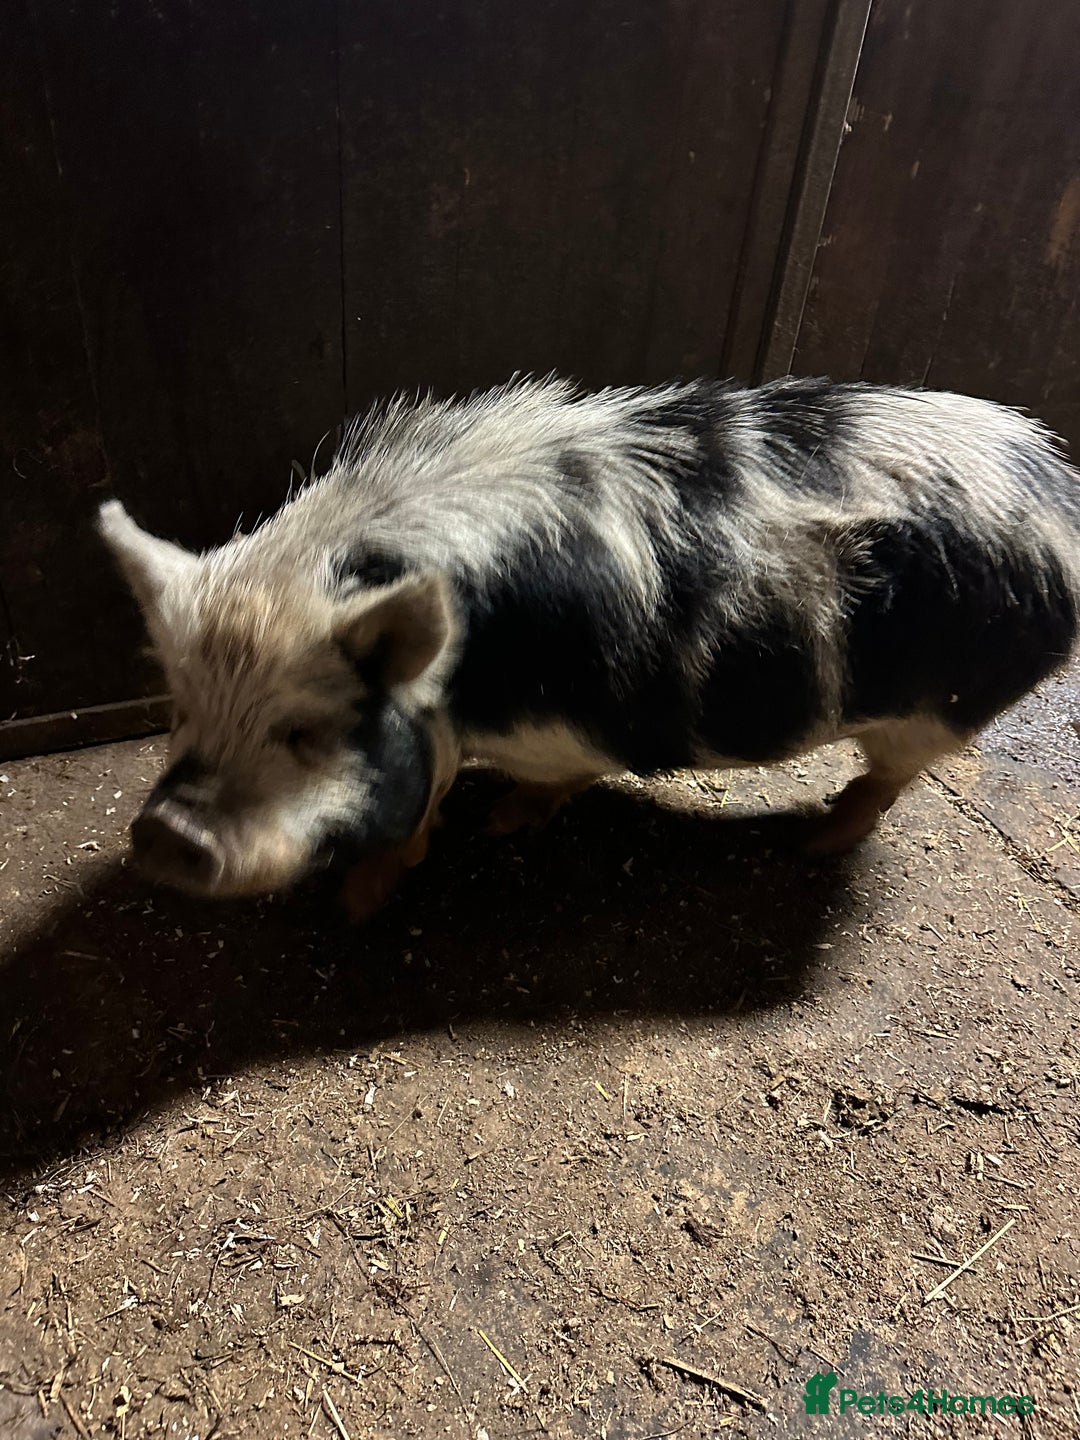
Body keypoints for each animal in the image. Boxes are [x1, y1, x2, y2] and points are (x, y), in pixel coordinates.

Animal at [99, 375, 1080, 906]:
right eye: (181, 713)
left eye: (307, 731)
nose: (165, 831)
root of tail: (1057, 490)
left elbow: (468, 801)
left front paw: (404, 875)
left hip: (937, 712)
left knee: (889, 780)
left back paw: (810, 844)